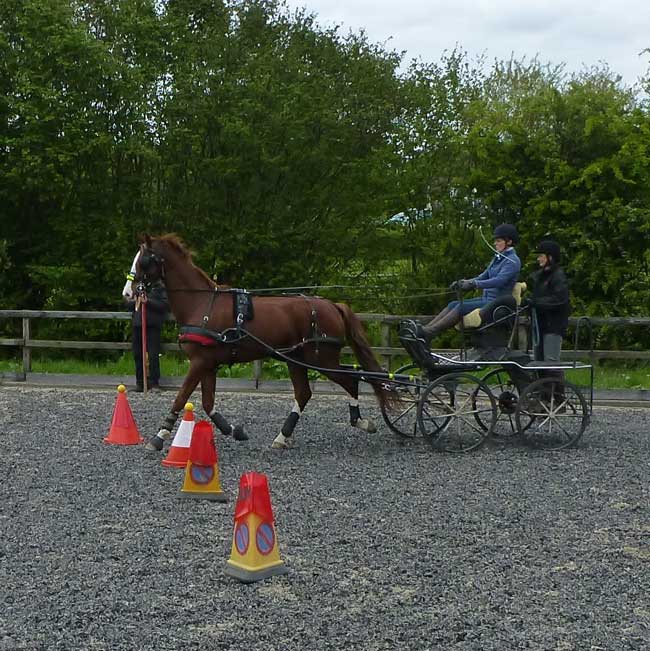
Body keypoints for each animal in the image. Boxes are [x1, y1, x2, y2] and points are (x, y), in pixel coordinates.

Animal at [135, 236, 394, 454]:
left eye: (144, 261)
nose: (130, 291)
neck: (202, 303)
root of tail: (333, 305)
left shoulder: (200, 362)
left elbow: (181, 397)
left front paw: (159, 436)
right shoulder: (208, 363)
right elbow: (208, 403)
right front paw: (234, 430)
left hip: (321, 358)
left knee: (350, 380)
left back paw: (360, 421)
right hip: (297, 359)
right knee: (306, 392)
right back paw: (282, 437)